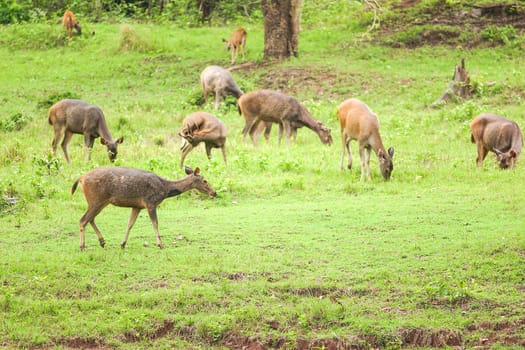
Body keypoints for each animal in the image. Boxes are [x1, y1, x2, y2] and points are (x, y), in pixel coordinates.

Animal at [71, 165, 215, 250]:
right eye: (205, 180)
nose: (214, 192)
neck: (165, 189)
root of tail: (81, 178)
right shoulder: (150, 202)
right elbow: (155, 223)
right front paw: (160, 244)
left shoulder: (137, 206)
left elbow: (130, 224)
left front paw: (123, 244)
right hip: (96, 199)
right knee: (83, 220)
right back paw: (82, 246)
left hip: (101, 201)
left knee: (90, 219)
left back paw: (102, 241)